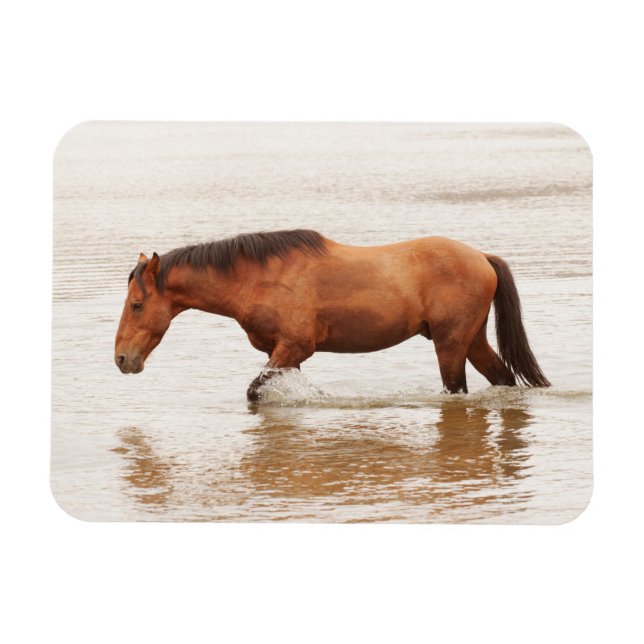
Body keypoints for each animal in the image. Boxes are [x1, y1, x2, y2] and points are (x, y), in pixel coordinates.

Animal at [114, 229, 550, 400]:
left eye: (137, 305)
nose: (122, 359)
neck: (259, 278)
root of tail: (481, 258)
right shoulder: (282, 354)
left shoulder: (294, 347)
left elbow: (255, 392)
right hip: (471, 340)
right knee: (502, 377)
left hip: (450, 345)